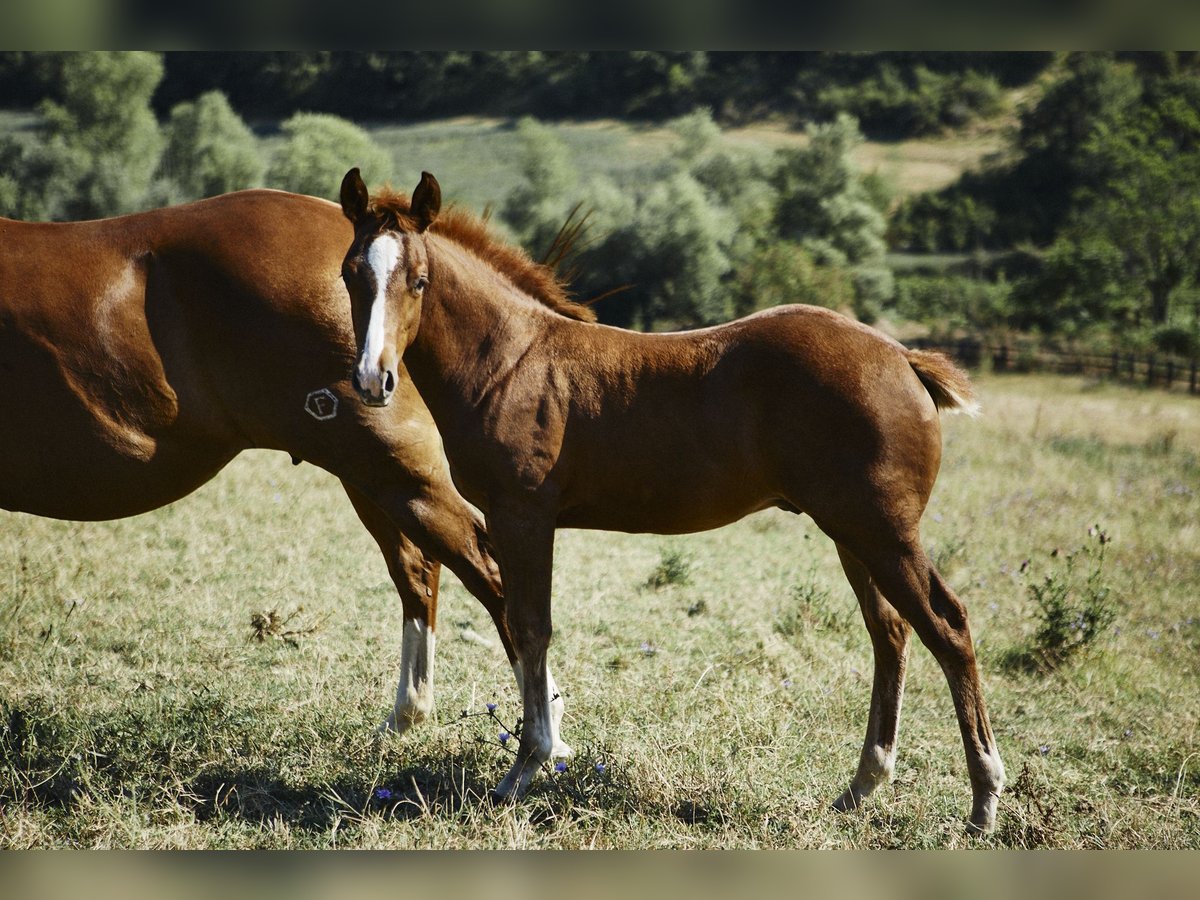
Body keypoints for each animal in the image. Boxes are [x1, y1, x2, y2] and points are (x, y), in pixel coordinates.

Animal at [0, 187, 568, 748]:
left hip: (395, 473)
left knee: (485, 572)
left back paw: (545, 732)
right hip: (372, 477)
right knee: (420, 570)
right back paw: (411, 714)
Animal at [336, 169, 1003, 830]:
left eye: (419, 280)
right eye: (349, 273)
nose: (373, 380)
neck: (509, 361)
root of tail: (904, 359)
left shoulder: (523, 516)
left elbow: (530, 627)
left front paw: (525, 769)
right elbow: (525, 624)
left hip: (883, 530)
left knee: (947, 627)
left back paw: (983, 803)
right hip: (851, 532)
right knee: (890, 632)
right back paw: (862, 786)